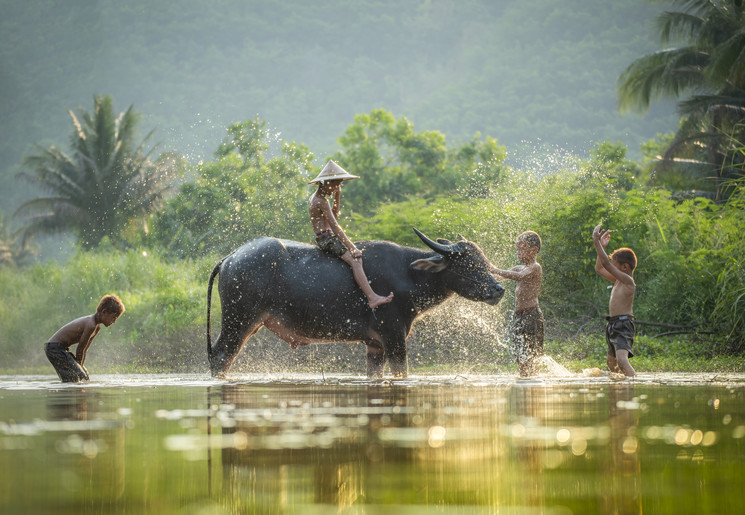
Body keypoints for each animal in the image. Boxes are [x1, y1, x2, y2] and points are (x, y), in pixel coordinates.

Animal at [206, 230, 502, 378]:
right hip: (237, 322)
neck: (408, 274)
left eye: (483, 260)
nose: (498, 289)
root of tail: (231, 257)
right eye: (468, 264)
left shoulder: (375, 345)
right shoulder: (394, 337)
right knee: (221, 357)